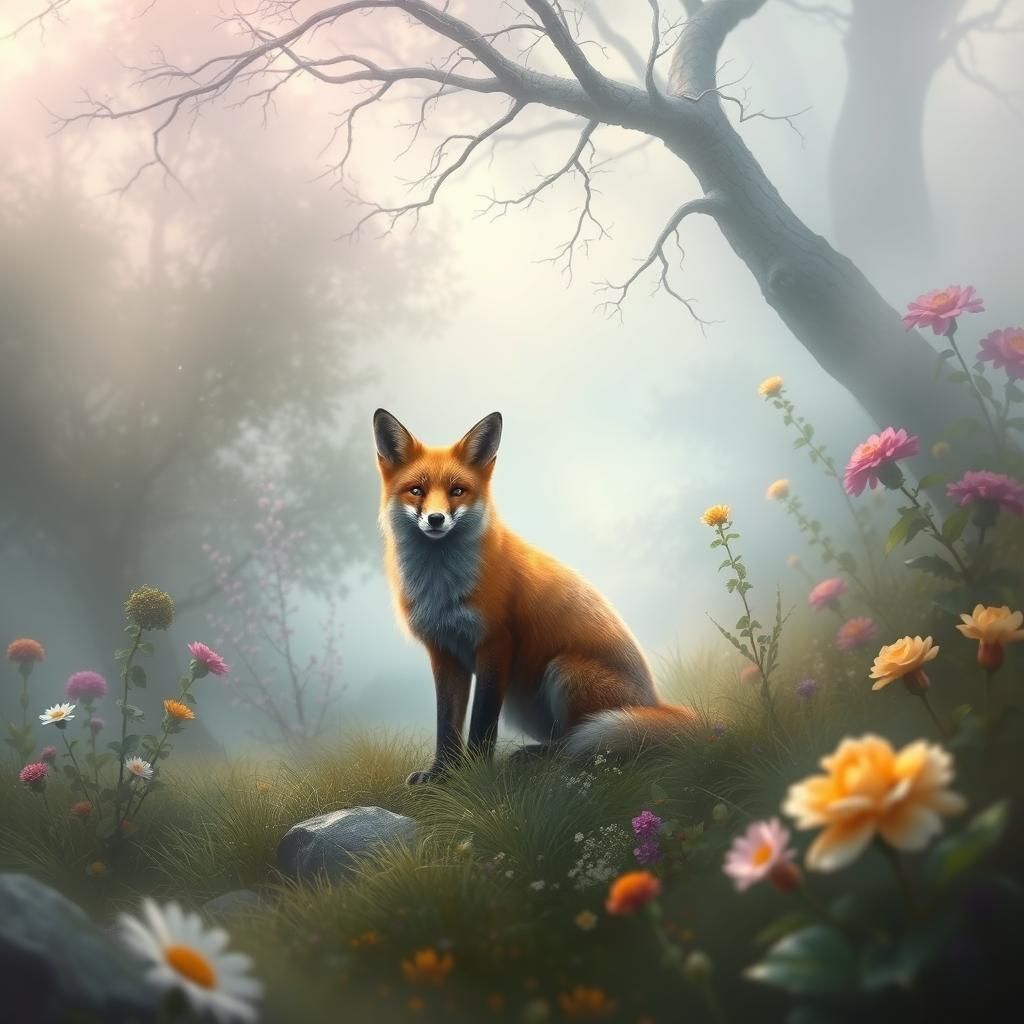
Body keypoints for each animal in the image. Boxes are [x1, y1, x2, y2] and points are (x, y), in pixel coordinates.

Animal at [373, 409, 697, 784]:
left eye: (457, 491)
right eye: (416, 491)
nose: (436, 519)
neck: (441, 587)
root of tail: (654, 702)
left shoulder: (496, 643)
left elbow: (482, 722)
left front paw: (478, 774)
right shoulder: (445, 652)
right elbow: (446, 725)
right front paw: (441, 775)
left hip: (564, 672)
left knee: (580, 743)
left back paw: (541, 757)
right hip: (522, 704)